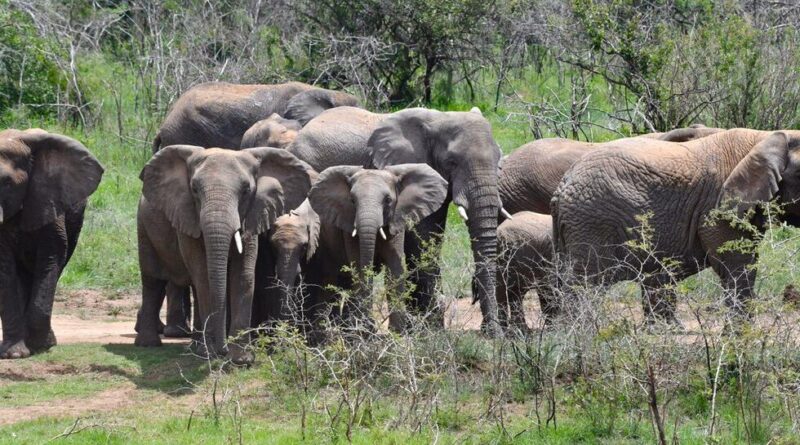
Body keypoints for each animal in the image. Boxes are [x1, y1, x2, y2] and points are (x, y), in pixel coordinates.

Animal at [135, 145, 311, 365]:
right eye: (194, 190)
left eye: (246, 191)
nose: (222, 350)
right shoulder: (187, 218)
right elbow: (203, 276)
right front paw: (210, 355)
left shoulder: (253, 214)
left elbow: (243, 275)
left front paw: (241, 360)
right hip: (143, 226)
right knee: (153, 280)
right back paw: (151, 344)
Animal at [287, 106, 507, 334]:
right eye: (451, 162)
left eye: (498, 161)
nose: (491, 333)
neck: (439, 118)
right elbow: (423, 240)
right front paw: (430, 329)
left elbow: (432, 238)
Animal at [551, 128, 800, 322]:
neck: (766, 137)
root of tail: (562, 187)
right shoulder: (716, 207)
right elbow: (738, 268)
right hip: (591, 222)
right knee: (586, 286)